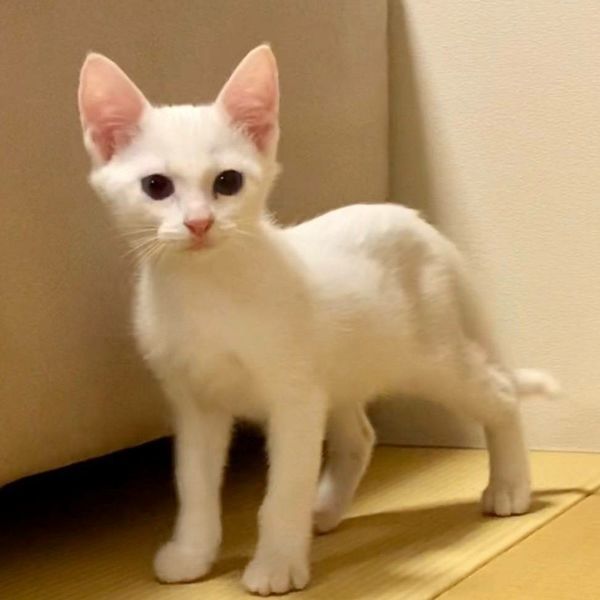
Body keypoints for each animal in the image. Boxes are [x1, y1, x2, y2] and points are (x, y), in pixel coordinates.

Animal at [78, 45, 559, 595]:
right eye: (156, 186)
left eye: (227, 182)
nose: (199, 223)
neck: (207, 290)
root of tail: (421, 225)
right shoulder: (196, 404)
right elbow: (194, 487)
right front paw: (193, 554)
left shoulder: (295, 398)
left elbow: (283, 490)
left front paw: (276, 564)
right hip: (342, 368)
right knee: (360, 437)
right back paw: (324, 509)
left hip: (432, 358)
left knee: (498, 393)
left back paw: (510, 487)